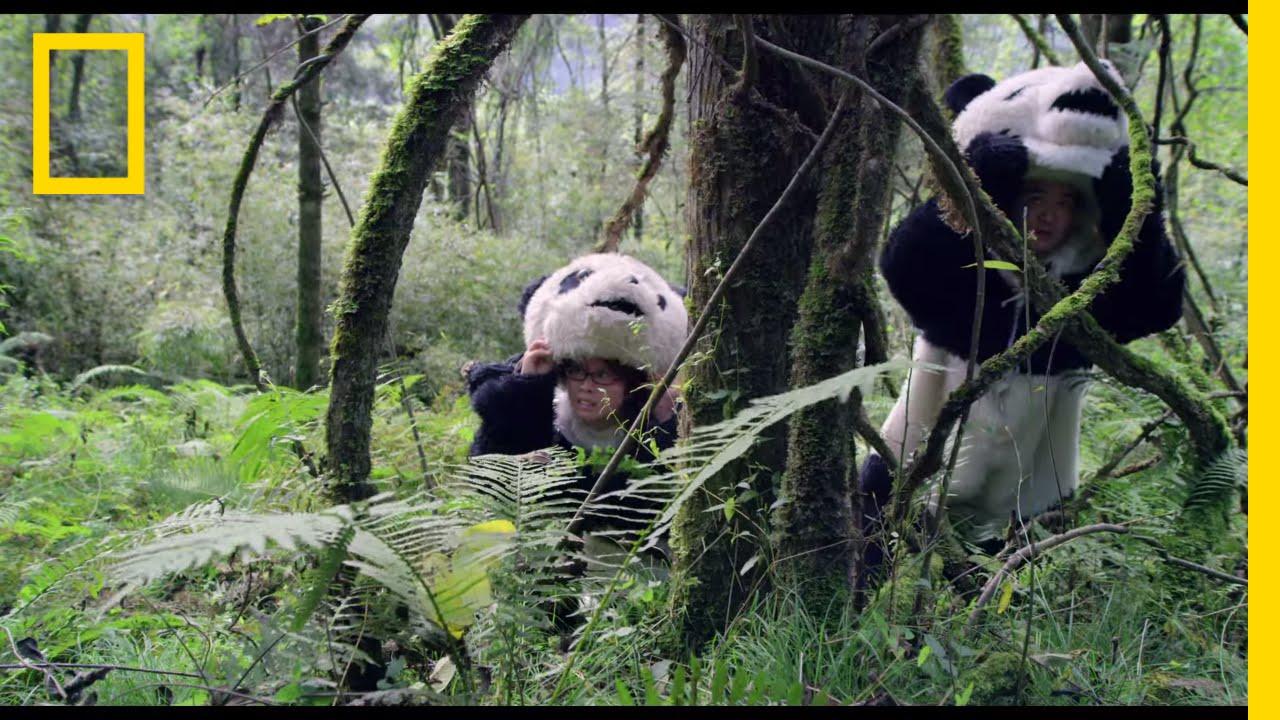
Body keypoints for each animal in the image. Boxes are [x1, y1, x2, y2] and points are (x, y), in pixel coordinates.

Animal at [858, 62, 1186, 570]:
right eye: (1020, 91)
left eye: (1068, 199)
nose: (1090, 90)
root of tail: (967, 507)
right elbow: (911, 265)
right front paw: (995, 160)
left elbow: (1152, 303)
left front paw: (1124, 177)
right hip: (908, 445)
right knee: (875, 512)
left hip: (1039, 493)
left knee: (1033, 547)